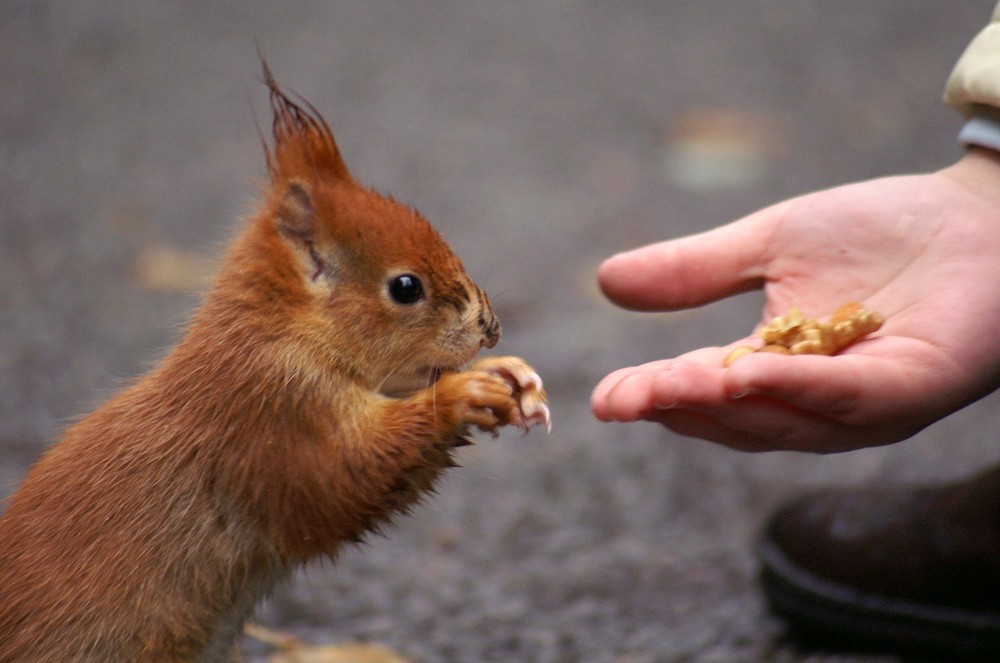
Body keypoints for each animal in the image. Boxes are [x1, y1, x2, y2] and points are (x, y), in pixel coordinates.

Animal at [0, 63, 548, 663]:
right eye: (406, 287)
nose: (491, 329)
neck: (280, 334)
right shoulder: (271, 412)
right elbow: (341, 479)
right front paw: (462, 394)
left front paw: (511, 375)